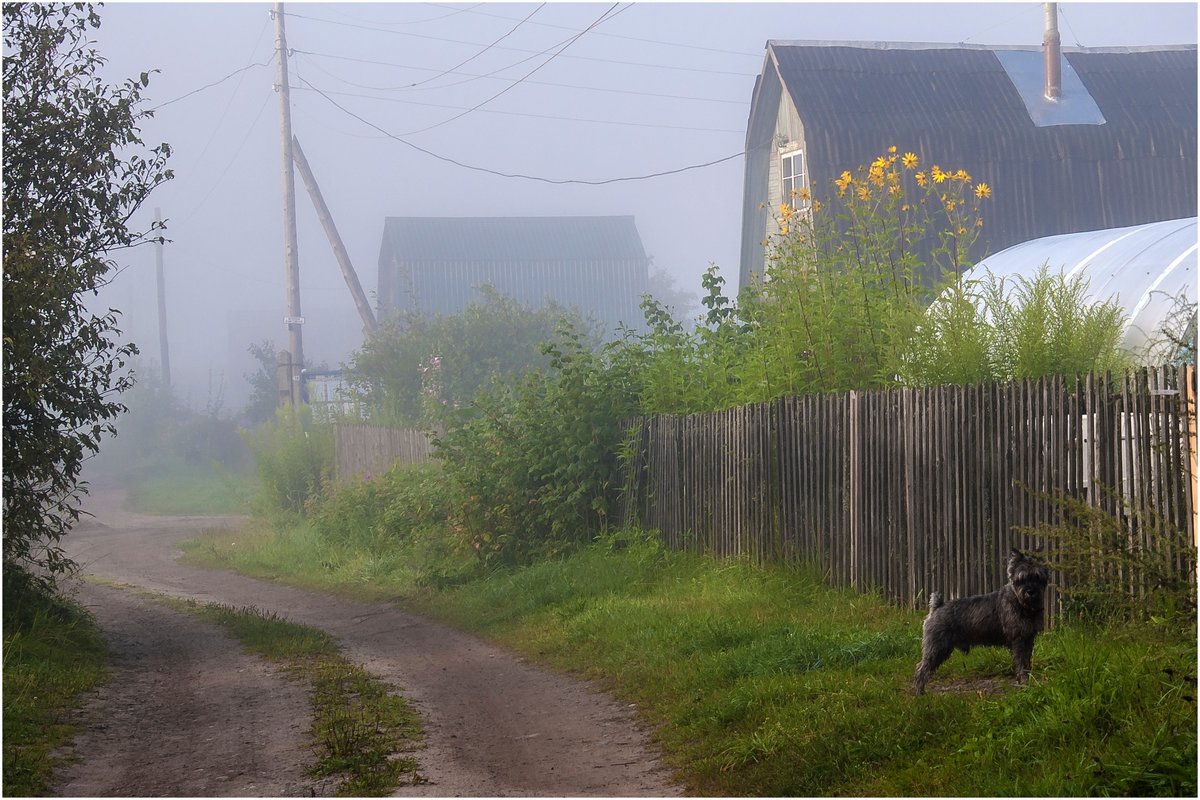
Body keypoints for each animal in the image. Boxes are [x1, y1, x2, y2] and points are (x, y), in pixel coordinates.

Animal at [916, 551, 1051, 695]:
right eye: (1021, 578)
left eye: (1037, 576)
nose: (1030, 591)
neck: (1020, 602)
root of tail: (937, 606)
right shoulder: (1018, 640)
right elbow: (1021, 663)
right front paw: (1025, 683)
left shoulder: (1028, 639)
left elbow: (1027, 662)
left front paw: (1027, 681)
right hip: (937, 648)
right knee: (921, 669)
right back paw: (919, 693)